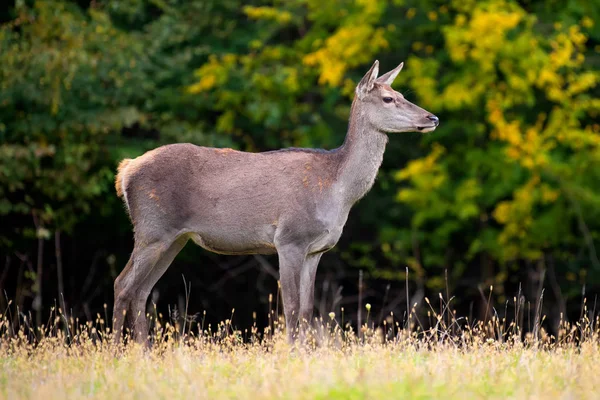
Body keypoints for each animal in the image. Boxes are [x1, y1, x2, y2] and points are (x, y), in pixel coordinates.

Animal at [112, 59, 438, 344]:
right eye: (388, 98)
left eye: (402, 95)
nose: (432, 118)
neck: (337, 191)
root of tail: (125, 171)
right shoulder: (289, 238)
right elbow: (291, 307)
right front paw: (290, 352)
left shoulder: (316, 250)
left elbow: (307, 309)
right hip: (153, 228)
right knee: (123, 284)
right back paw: (116, 350)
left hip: (173, 238)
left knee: (141, 291)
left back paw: (145, 350)